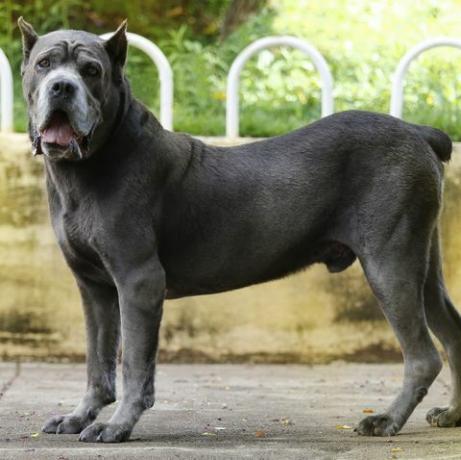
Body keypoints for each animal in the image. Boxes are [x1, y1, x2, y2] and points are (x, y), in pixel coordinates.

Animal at [16, 18, 460, 442]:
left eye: (91, 70)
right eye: (44, 64)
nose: (62, 86)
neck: (92, 163)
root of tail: (419, 130)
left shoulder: (138, 280)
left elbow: (135, 364)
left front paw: (118, 426)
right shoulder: (94, 286)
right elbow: (97, 362)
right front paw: (78, 416)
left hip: (390, 261)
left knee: (423, 356)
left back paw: (386, 420)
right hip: (421, 261)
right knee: (452, 330)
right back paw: (451, 414)